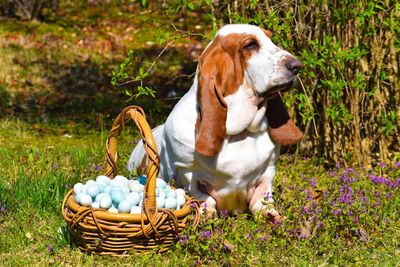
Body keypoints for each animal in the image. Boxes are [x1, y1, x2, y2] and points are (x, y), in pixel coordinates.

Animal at [130, 24, 302, 218]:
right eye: (250, 45)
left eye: (271, 39)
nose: (297, 66)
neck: (239, 132)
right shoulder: (187, 173)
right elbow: (202, 196)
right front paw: (207, 214)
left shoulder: (269, 170)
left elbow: (262, 198)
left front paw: (272, 215)